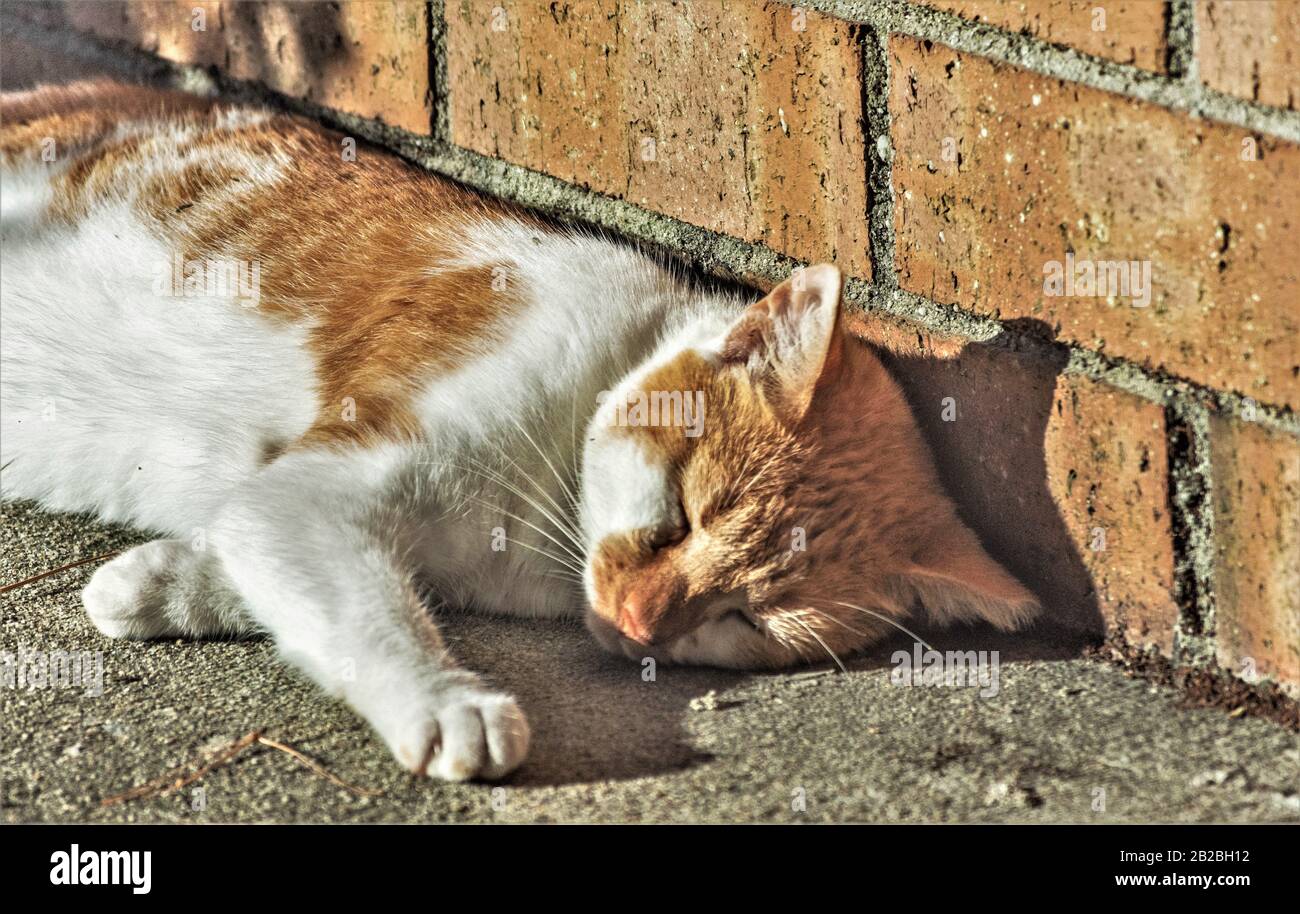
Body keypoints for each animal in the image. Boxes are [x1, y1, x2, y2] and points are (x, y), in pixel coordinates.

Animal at [0, 78, 1034, 785]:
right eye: (682, 517)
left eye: (750, 619)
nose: (640, 622)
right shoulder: (327, 484)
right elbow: (366, 604)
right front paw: (449, 705)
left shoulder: (297, 506)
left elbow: (274, 564)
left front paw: (153, 584)